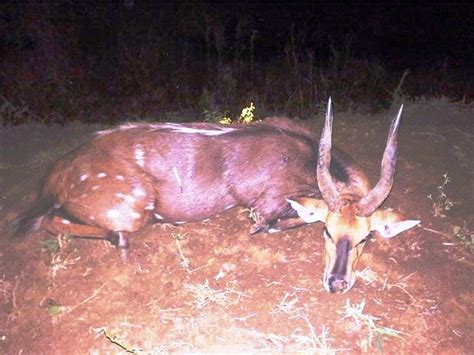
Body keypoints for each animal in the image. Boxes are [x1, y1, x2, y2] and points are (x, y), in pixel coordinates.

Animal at [12, 98, 418, 294]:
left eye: (365, 238)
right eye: (327, 233)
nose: (336, 284)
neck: (302, 153)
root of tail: (56, 173)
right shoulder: (265, 205)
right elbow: (272, 223)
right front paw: (263, 229)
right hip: (135, 209)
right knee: (50, 221)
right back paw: (120, 241)